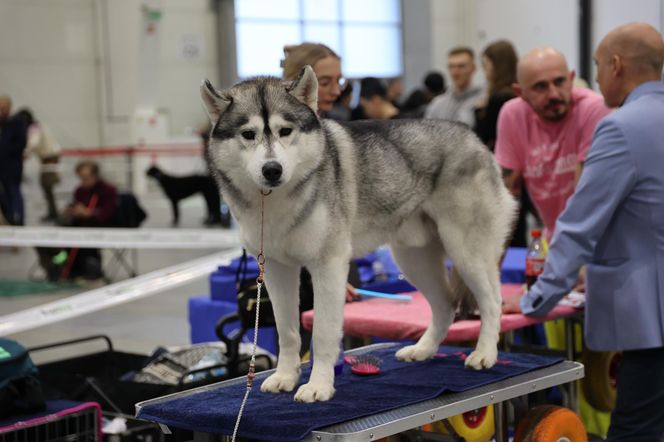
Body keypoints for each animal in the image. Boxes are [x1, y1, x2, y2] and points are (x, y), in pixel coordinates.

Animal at [200, 66, 516, 404]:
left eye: (285, 131)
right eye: (248, 134)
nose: (272, 170)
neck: (271, 201)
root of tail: (472, 136)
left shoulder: (328, 266)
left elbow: (323, 333)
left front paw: (318, 386)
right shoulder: (276, 269)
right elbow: (287, 330)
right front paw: (285, 377)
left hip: (466, 252)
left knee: (492, 301)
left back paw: (485, 354)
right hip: (413, 259)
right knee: (445, 305)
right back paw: (423, 350)